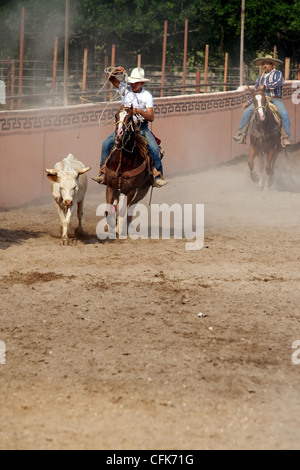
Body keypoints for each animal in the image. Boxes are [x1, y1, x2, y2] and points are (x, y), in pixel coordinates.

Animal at [103, 104, 155, 233]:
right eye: (116, 115)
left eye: (130, 117)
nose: (119, 133)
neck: (123, 162)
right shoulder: (110, 187)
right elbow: (107, 211)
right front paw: (111, 225)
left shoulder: (131, 190)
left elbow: (123, 211)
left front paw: (118, 228)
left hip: (143, 189)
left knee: (132, 205)